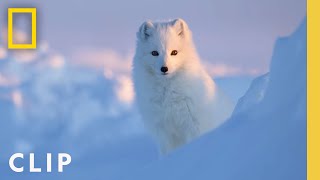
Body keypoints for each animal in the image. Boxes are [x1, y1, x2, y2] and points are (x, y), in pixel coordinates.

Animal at [131, 17, 234, 153]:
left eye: (174, 52)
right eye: (154, 53)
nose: (164, 68)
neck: (168, 95)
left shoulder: (194, 126)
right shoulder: (162, 131)